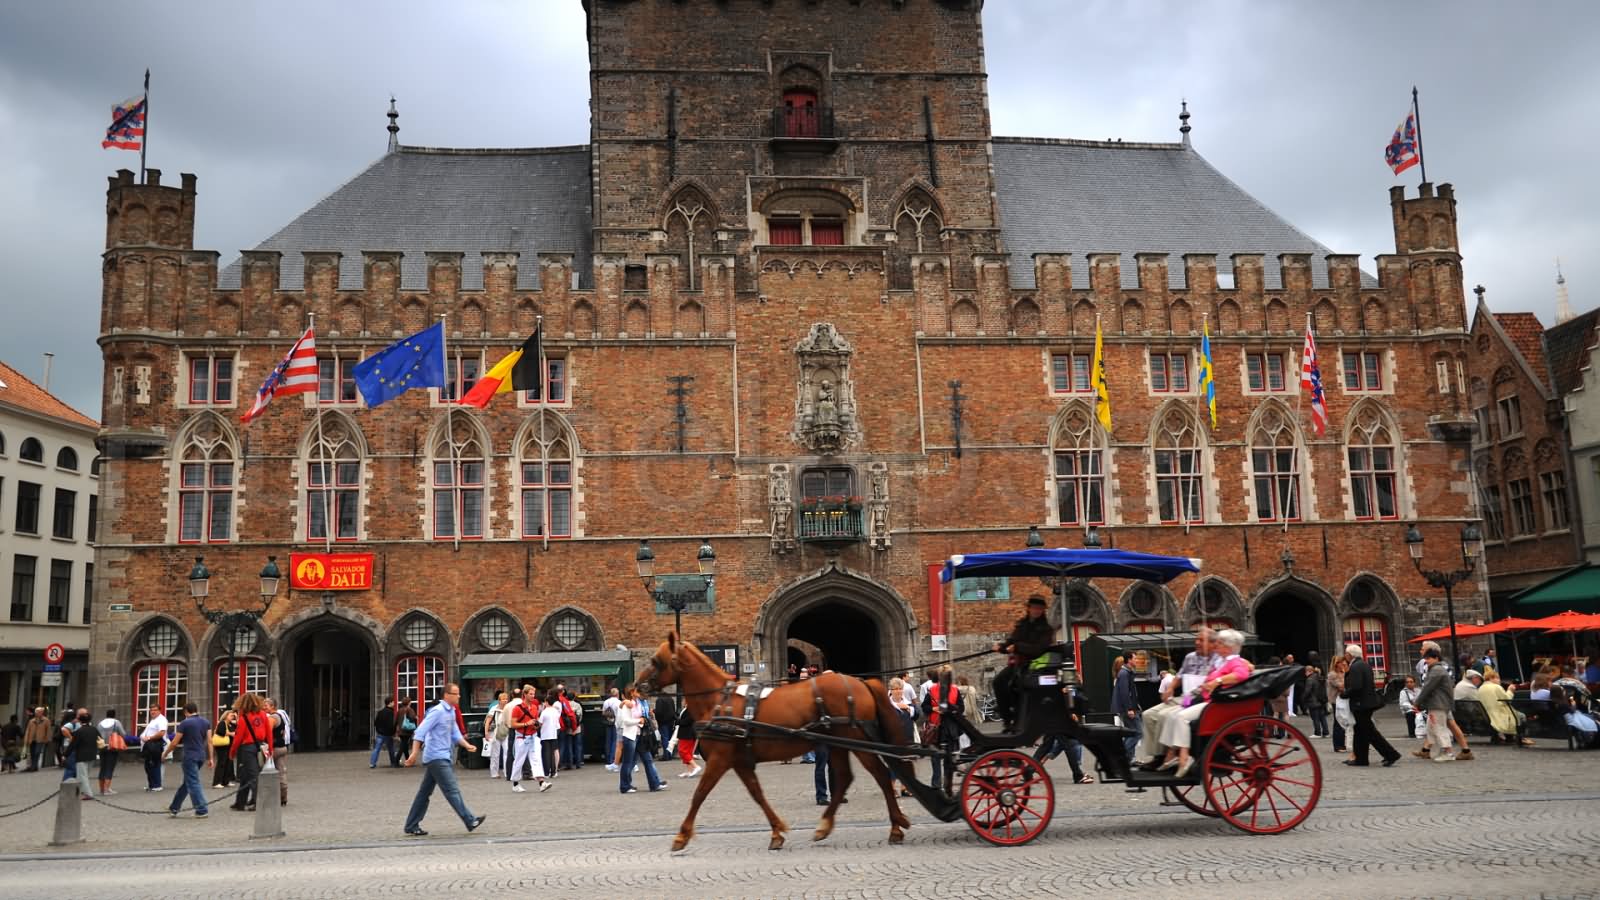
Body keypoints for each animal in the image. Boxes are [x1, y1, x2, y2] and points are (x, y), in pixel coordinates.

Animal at [633, 630, 915, 845]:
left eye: (656, 661)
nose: (636, 686)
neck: (718, 701)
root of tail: (861, 683)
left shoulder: (720, 758)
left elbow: (700, 793)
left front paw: (681, 836)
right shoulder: (740, 761)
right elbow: (756, 793)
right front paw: (777, 831)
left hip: (857, 742)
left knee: (881, 775)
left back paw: (895, 827)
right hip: (838, 744)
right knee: (846, 778)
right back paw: (826, 825)